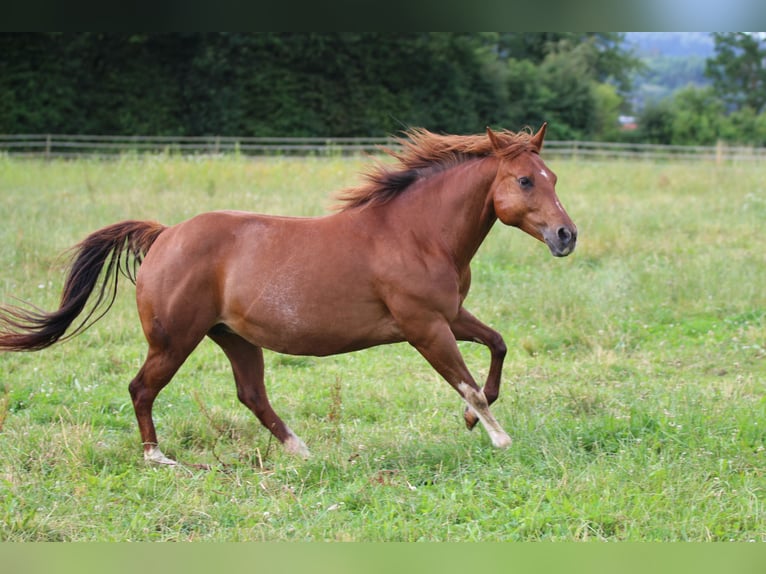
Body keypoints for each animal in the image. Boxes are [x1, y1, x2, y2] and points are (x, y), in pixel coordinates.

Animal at [0, 124, 576, 466]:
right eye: (525, 181)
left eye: (552, 176)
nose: (567, 236)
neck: (417, 232)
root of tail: (164, 235)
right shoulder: (425, 327)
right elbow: (468, 384)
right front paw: (497, 436)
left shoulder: (450, 314)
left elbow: (496, 347)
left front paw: (473, 420)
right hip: (174, 340)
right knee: (142, 388)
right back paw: (157, 457)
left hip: (233, 337)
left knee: (252, 395)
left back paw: (301, 450)